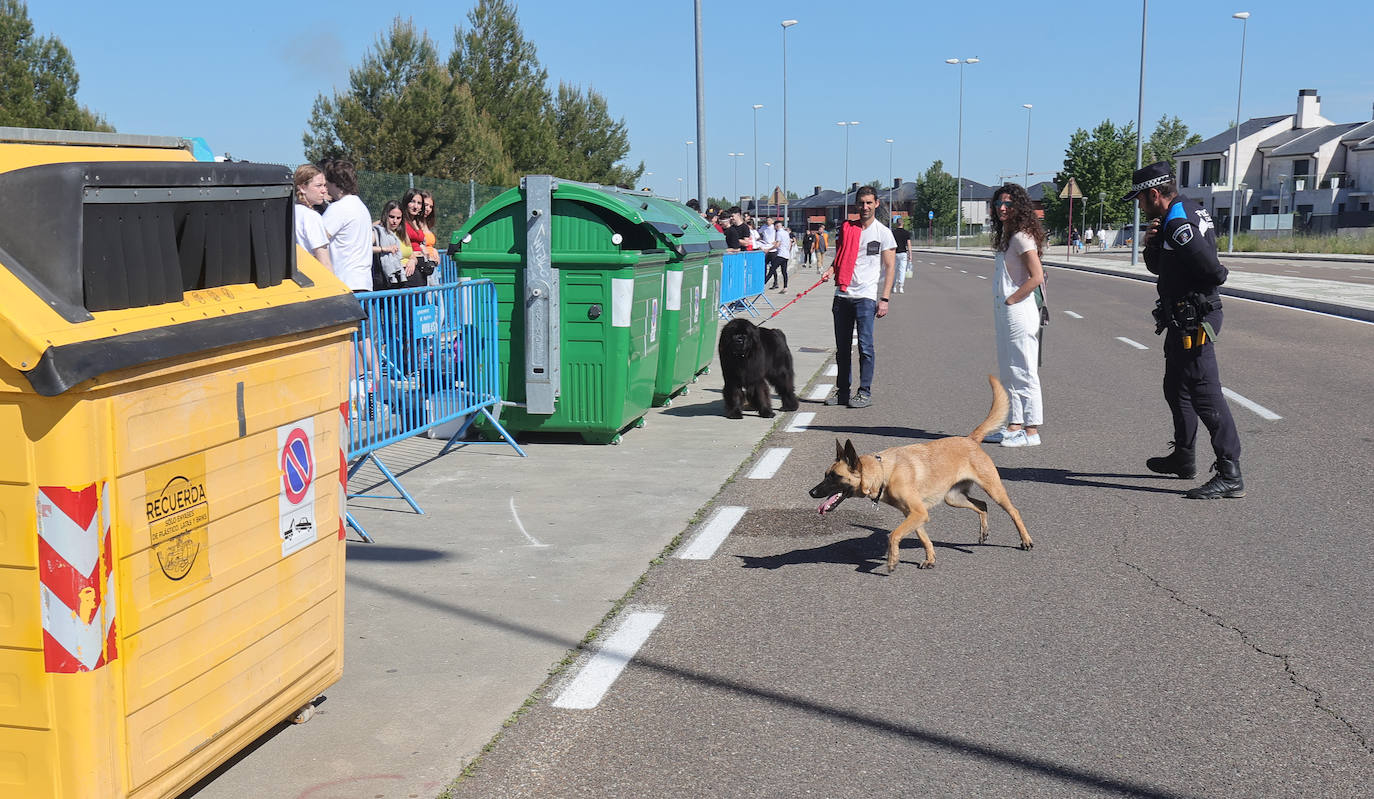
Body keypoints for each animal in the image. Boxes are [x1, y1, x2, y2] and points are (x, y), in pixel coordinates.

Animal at [802, 376, 1033, 573]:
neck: (884, 473)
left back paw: (1026, 540)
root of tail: (970, 439)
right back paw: (983, 532)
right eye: (825, 474)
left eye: (834, 476)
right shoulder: (914, 514)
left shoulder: (918, 513)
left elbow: (893, 535)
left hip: (994, 490)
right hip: (953, 498)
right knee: (982, 505)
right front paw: (930, 559)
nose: (811, 492)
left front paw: (892, 560)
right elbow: (923, 538)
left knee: (1013, 511)